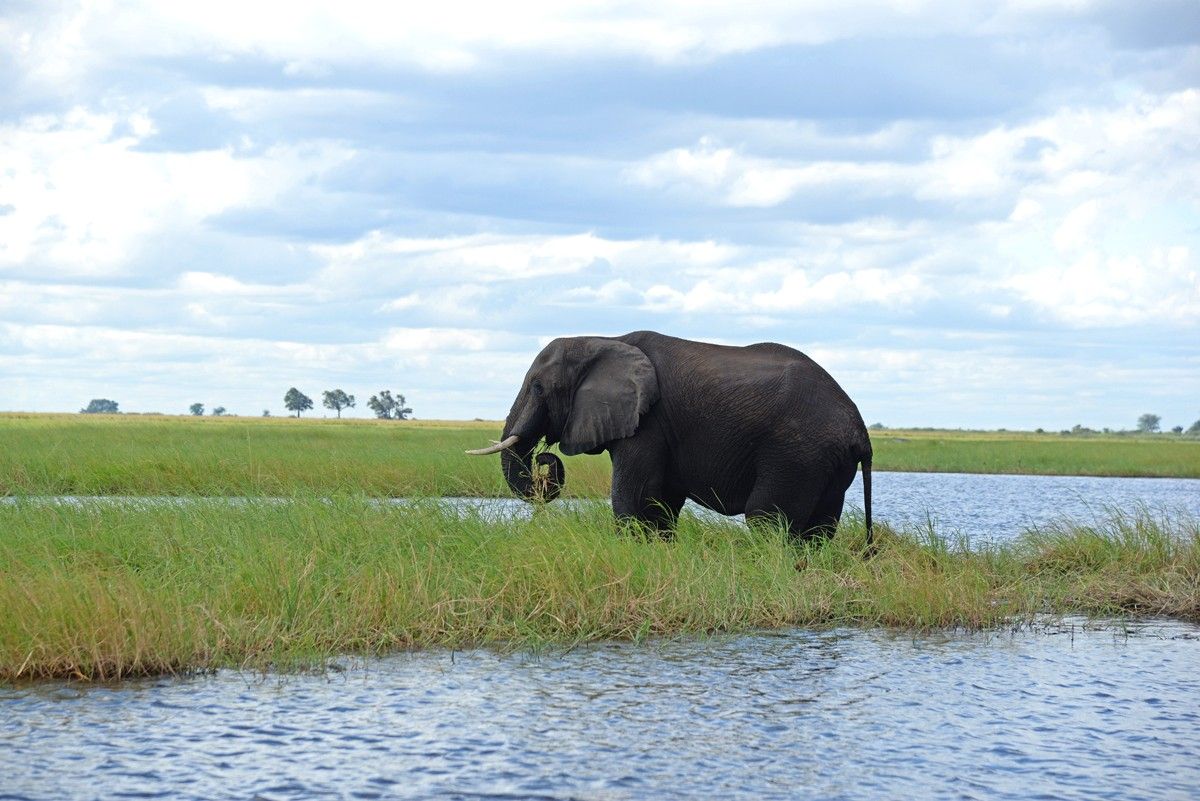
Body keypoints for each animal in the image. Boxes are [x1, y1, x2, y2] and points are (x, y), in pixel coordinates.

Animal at [467, 330, 873, 545]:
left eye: (537, 387)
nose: (544, 460)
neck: (602, 340)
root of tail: (861, 430)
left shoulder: (649, 421)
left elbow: (632, 497)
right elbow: (663, 502)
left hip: (797, 453)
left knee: (766, 518)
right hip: (827, 463)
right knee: (821, 527)